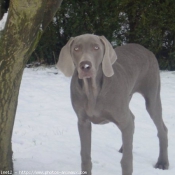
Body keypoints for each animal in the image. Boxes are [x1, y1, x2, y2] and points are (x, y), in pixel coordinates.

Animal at [56, 34, 169, 175]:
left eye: (96, 48)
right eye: (76, 48)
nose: (85, 66)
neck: (92, 91)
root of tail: (146, 49)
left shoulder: (122, 118)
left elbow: (126, 161)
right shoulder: (83, 122)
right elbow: (85, 156)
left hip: (152, 97)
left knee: (161, 129)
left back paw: (162, 162)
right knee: (132, 120)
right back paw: (124, 147)